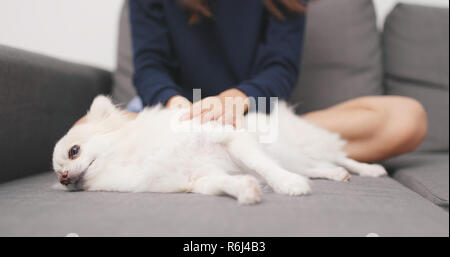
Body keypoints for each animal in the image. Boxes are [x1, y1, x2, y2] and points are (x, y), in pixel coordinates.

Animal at [52, 95, 386, 203]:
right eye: (57, 176)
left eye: (74, 151)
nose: (65, 179)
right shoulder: (199, 179)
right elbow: (224, 182)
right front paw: (245, 190)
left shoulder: (231, 139)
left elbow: (264, 167)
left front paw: (288, 185)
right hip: (299, 158)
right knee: (319, 165)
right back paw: (335, 174)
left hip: (298, 148)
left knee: (339, 155)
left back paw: (368, 169)